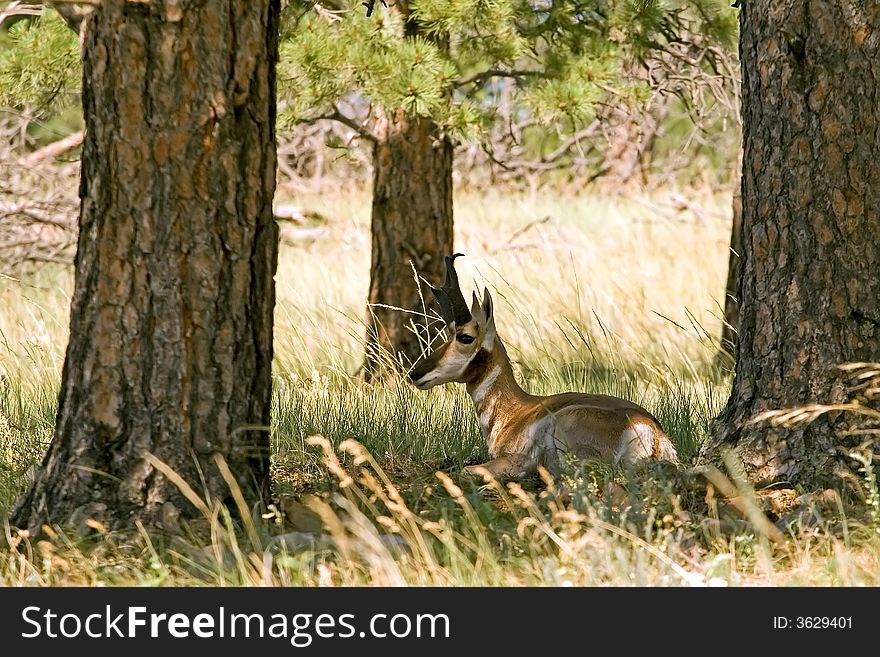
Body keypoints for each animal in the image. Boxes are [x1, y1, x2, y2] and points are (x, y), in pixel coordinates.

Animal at [410, 254, 676, 480]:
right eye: (448, 333)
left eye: (465, 337)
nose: (415, 373)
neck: (517, 411)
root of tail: (651, 431)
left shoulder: (514, 459)